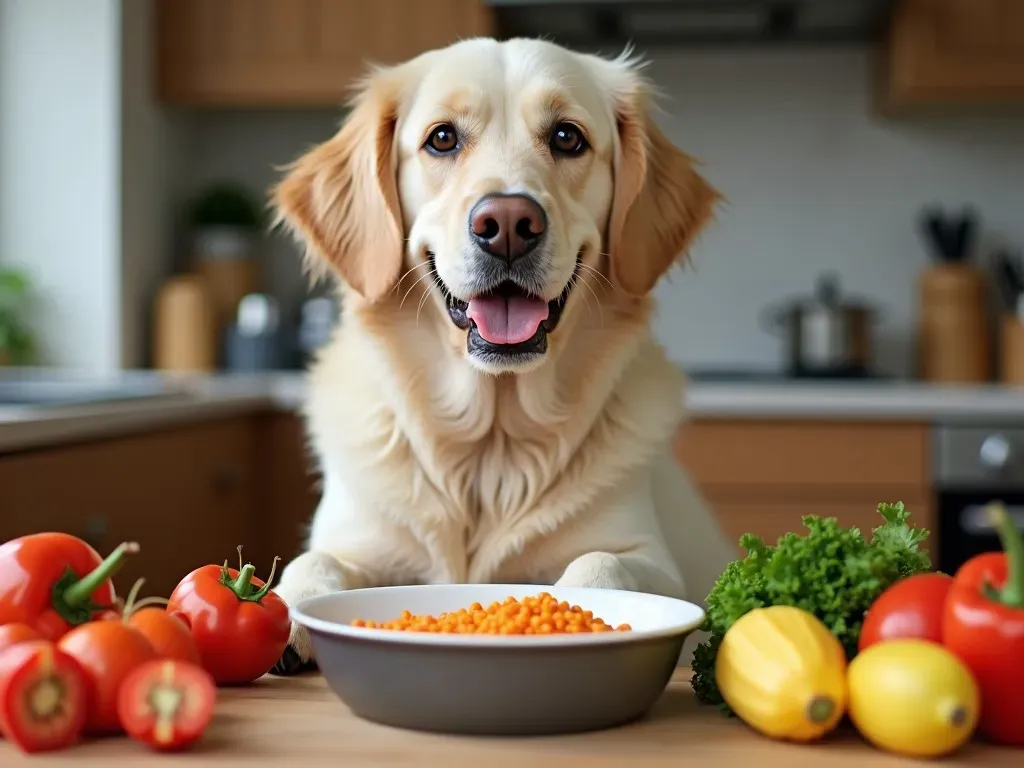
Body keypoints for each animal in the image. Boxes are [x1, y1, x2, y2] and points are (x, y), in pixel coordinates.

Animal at [270, 37, 737, 671]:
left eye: (567, 137)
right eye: (442, 138)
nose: (510, 224)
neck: (490, 449)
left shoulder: (647, 554)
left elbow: (600, 565)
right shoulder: (354, 537)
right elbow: (311, 561)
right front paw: (288, 612)